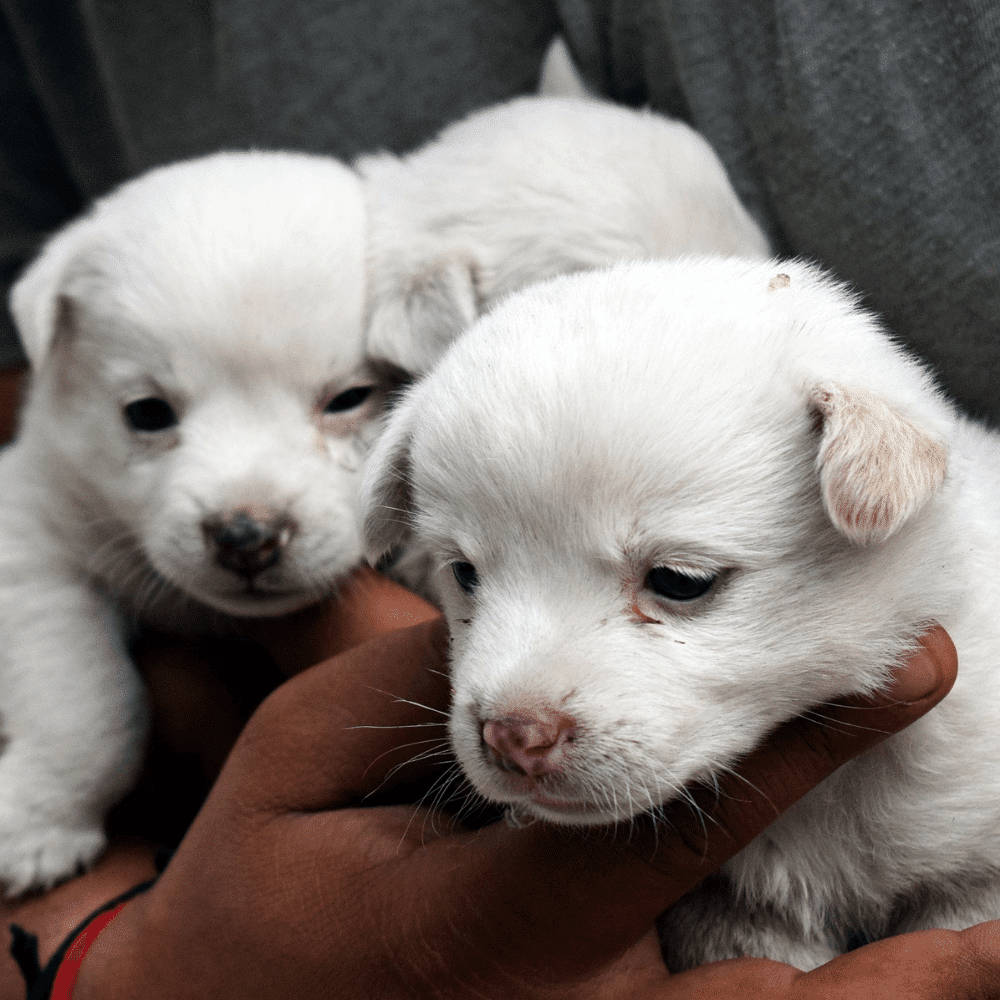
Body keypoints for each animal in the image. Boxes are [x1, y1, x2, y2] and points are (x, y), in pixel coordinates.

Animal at [0, 150, 384, 892]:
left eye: (351, 398)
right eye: (146, 413)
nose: (246, 537)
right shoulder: (34, 540)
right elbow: (82, 700)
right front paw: (38, 824)